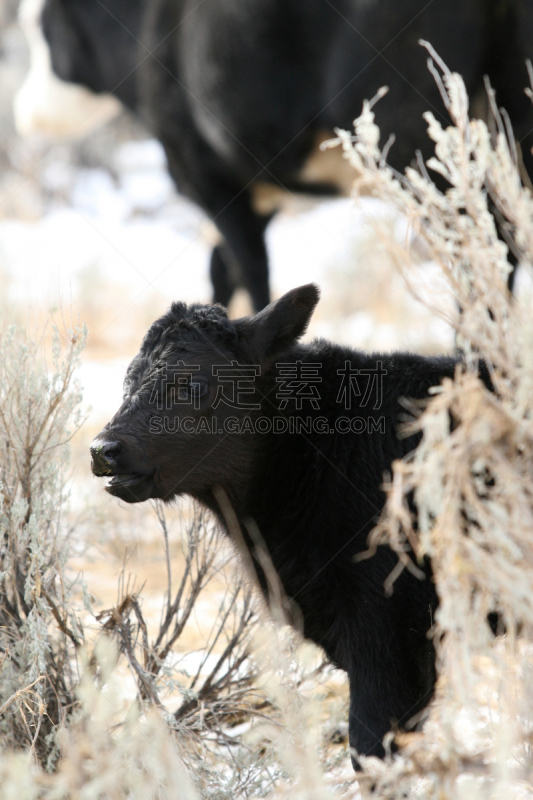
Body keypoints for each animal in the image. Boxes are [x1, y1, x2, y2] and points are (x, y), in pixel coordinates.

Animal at [36, 0, 532, 308]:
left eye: (38, 24)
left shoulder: (201, 172)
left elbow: (252, 271)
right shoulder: (261, 189)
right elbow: (224, 269)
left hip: (423, 158)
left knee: (477, 260)